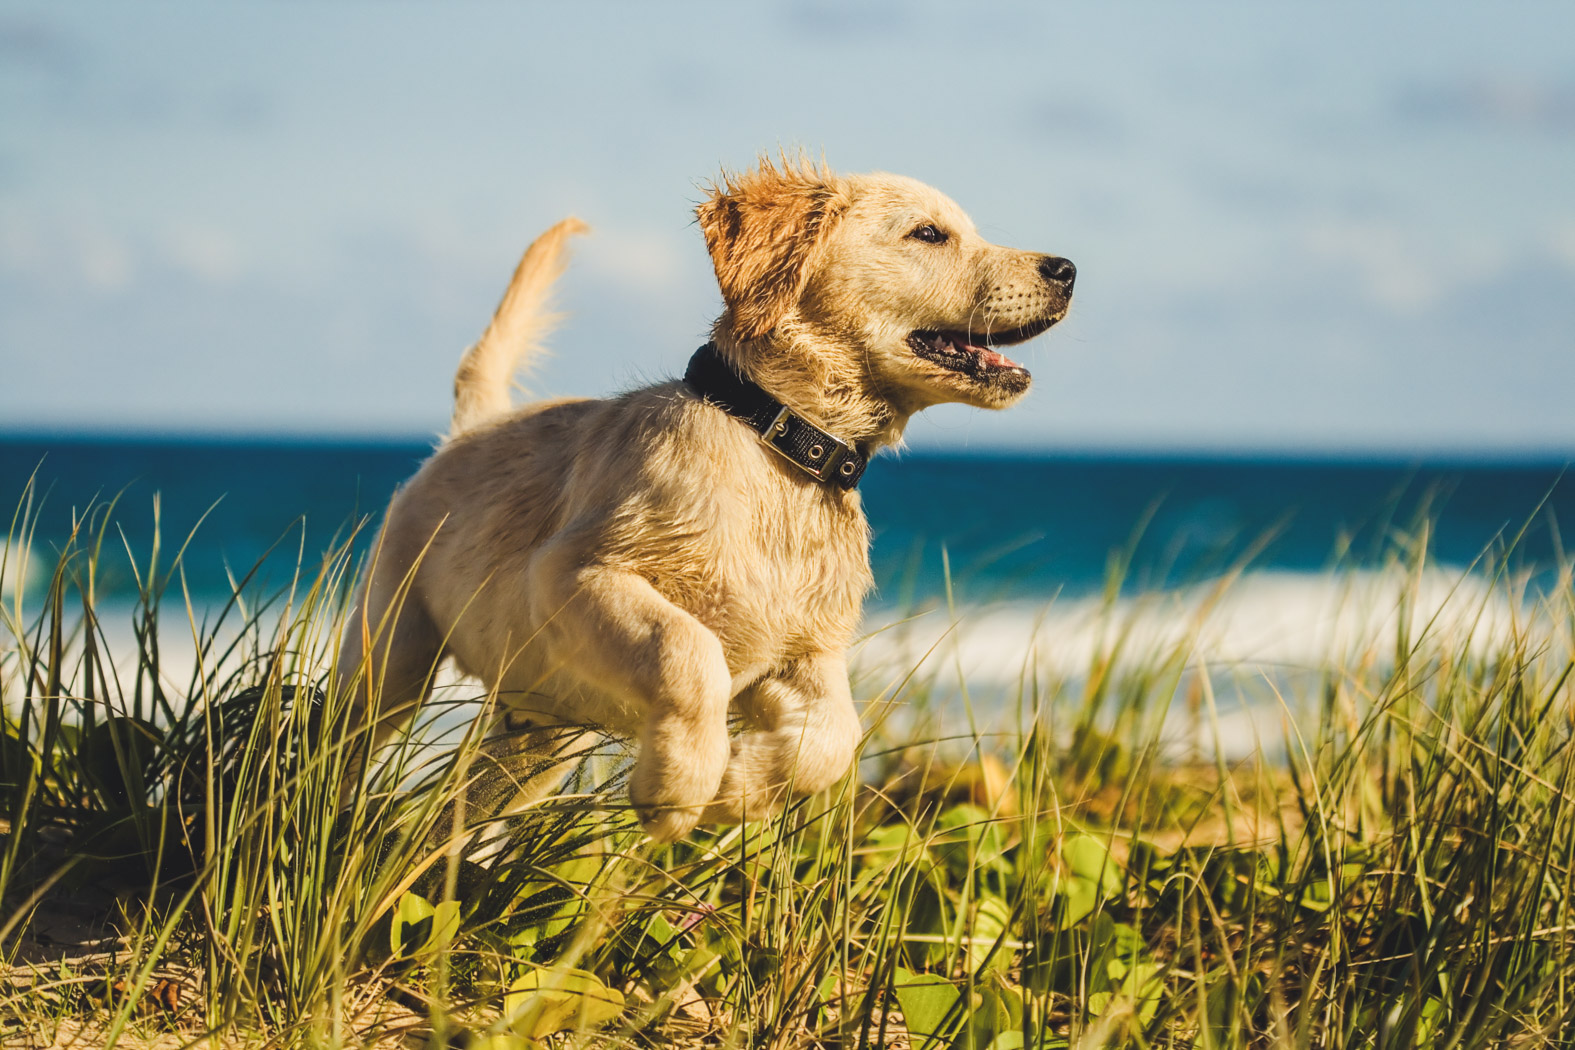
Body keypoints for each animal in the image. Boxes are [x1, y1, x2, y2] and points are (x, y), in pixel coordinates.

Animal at [330, 155, 1071, 843]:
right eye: (929, 233)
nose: (1066, 268)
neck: (779, 445)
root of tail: (470, 428)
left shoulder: (804, 652)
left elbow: (834, 737)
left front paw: (736, 790)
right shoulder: (576, 574)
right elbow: (688, 653)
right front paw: (679, 787)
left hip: (539, 737)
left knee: (450, 821)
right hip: (391, 652)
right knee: (339, 742)